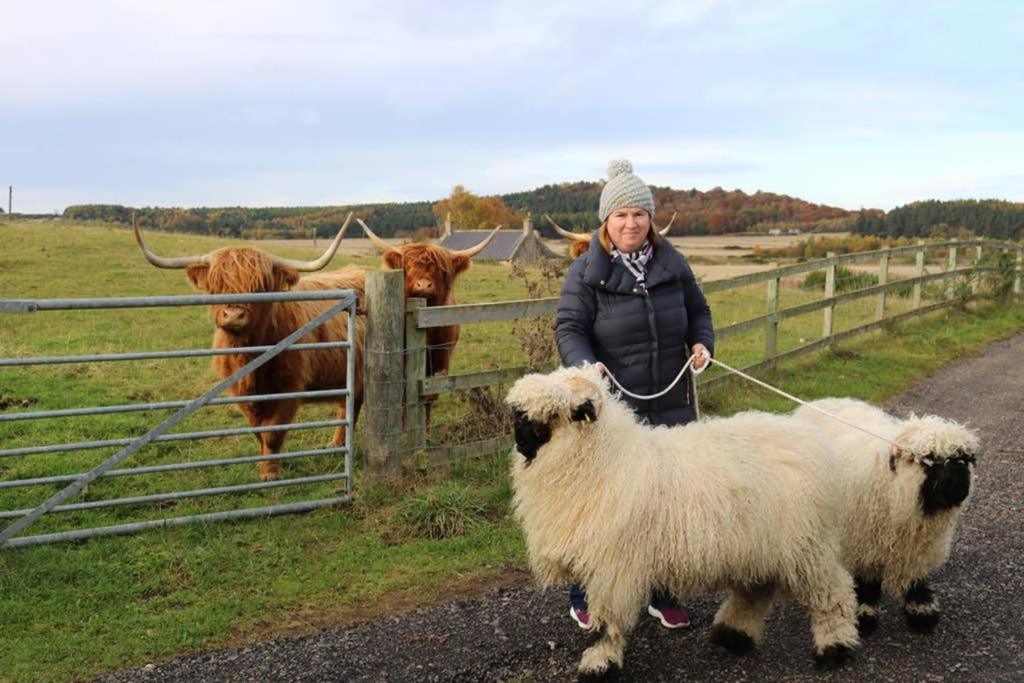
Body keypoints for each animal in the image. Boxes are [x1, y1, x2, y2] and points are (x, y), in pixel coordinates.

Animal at [132, 214, 364, 481]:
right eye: (216, 286)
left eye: (260, 286)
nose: (233, 315)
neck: (250, 356)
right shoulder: (241, 391)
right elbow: (258, 431)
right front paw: (263, 466)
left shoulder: (289, 388)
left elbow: (272, 432)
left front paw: (270, 474)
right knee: (347, 406)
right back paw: (336, 443)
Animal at [356, 219, 499, 419]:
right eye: (408, 267)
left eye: (438, 269)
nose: (423, 285)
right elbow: (405, 401)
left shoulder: (440, 362)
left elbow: (428, 398)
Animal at [507, 366, 860, 675]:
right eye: (518, 415)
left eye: (553, 414)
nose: (520, 444)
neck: (605, 460)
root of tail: (813, 439)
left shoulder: (613, 567)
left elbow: (606, 623)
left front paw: (599, 662)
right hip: (761, 543)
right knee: (757, 588)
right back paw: (733, 635)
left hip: (805, 544)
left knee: (833, 592)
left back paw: (834, 648)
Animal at [790, 397, 974, 638]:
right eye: (929, 459)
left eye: (964, 459)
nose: (961, 488)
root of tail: (819, 400)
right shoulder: (865, 543)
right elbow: (868, 583)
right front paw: (865, 616)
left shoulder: (916, 546)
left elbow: (915, 578)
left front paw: (922, 614)